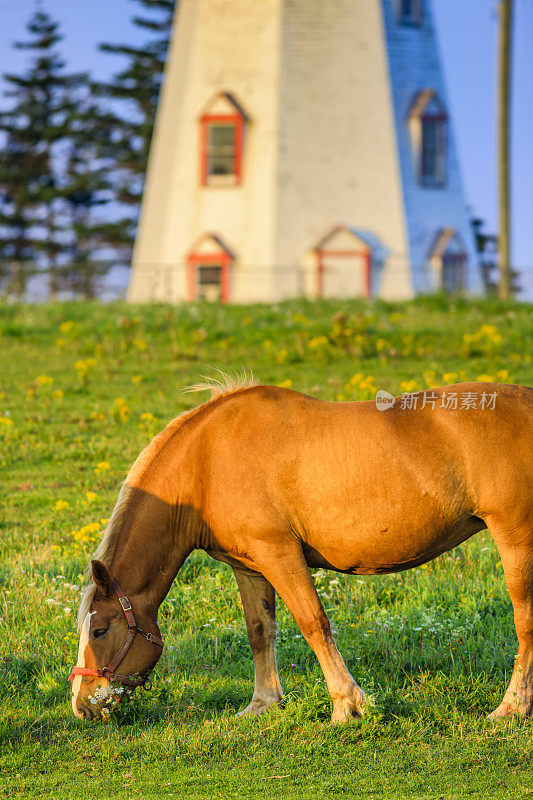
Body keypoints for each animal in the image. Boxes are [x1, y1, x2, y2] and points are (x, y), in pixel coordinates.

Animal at [70, 378, 532, 720]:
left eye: (100, 630)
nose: (81, 704)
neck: (205, 465)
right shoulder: (249, 565)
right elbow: (260, 630)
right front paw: (262, 704)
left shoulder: (279, 554)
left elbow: (313, 623)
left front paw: (348, 705)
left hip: (516, 536)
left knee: (524, 621)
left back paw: (511, 709)